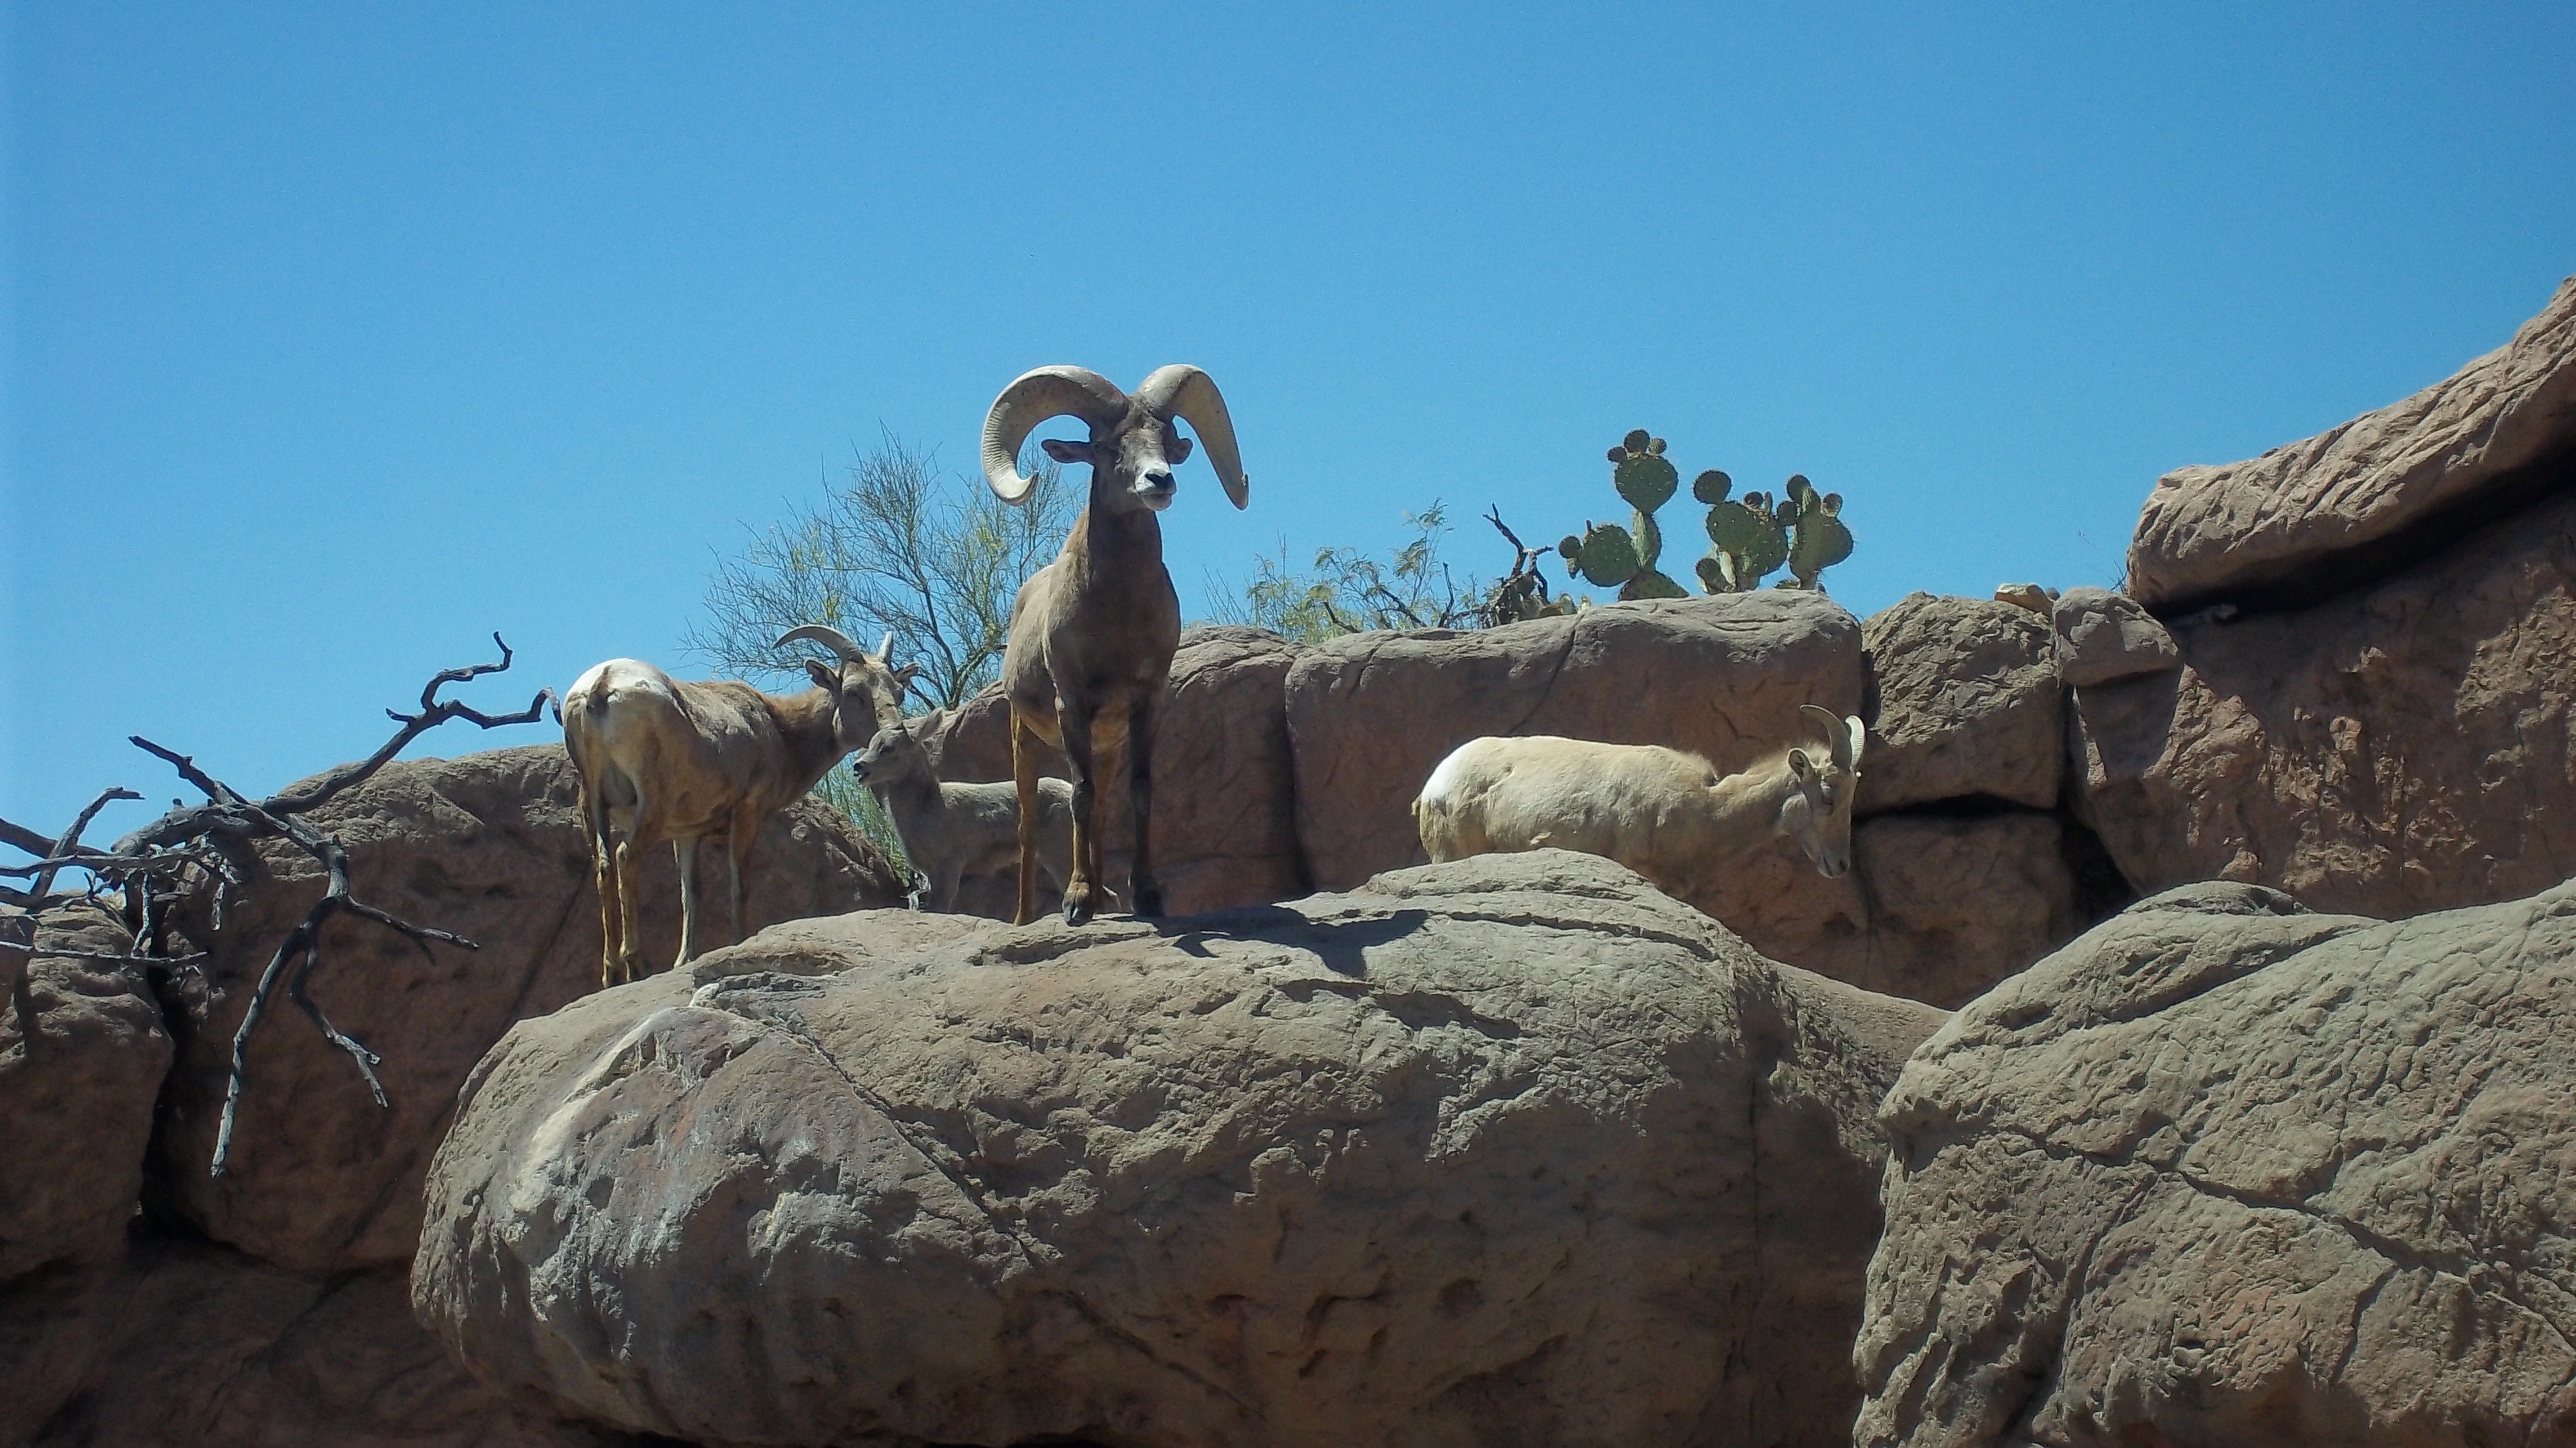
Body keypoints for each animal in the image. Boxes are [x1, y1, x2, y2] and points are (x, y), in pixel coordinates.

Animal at [569, 621, 912, 979]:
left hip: (592, 803)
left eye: (898, 692)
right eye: (853, 692)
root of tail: (603, 685)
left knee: (605, 866)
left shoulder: (686, 833)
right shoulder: (747, 811)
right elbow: (739, 883)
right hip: (652, 803)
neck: (781, 732)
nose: (895, 736)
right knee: (626, 857)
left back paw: (611, 974)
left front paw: (684, 960)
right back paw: (638, 964)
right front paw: (737, 942)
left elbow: (691, 892)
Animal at [845, 706, 1077, 907]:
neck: (927, 808)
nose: (859, 767)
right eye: (872, 745)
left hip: (1058, 849)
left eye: (888, 749)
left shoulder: (950, 862)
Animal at [974, 366, 1247, 917]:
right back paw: (1030, 917)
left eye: (1165, 437)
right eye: (1105, 446)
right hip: (1024, 739)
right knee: (1029, 826)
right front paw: (1076, 902)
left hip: (1106, 748)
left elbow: (1138, 795)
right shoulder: (1073, 704)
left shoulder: (1146, 705)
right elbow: (1079, 796)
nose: (1159, 481)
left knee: (1101, 814)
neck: (1117, 617)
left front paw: (1146, 896)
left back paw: (1104, 897)